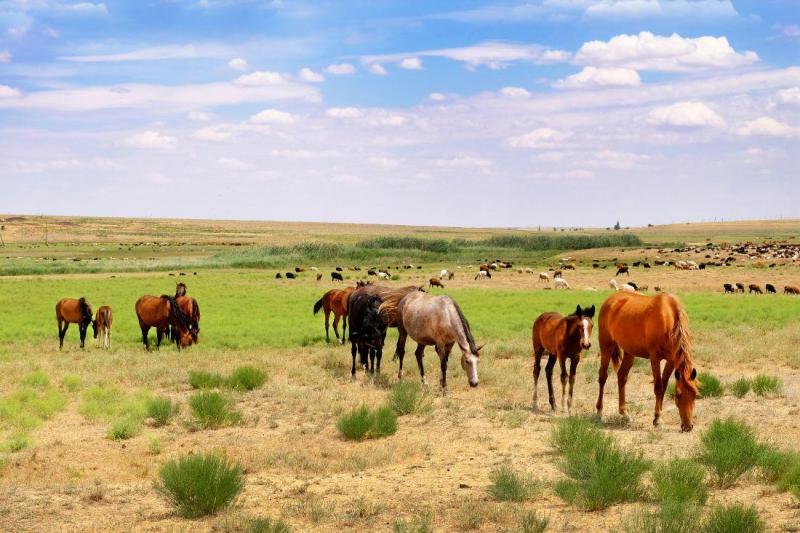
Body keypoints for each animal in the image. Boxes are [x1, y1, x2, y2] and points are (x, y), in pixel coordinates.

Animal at [596, 290, 696, 432]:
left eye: (695, 395)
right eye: (678, 395)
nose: (688, 426)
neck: (668, 318)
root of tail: (610, 300)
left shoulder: (671, 360)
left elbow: (664, 386)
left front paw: (658, 416)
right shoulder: (655, 358)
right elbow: (658, 387)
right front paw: (657, 419)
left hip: (629, 352)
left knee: (622, 377)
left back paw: (624, 413)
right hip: (606, 346)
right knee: (602, 377)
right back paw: (599, 412)